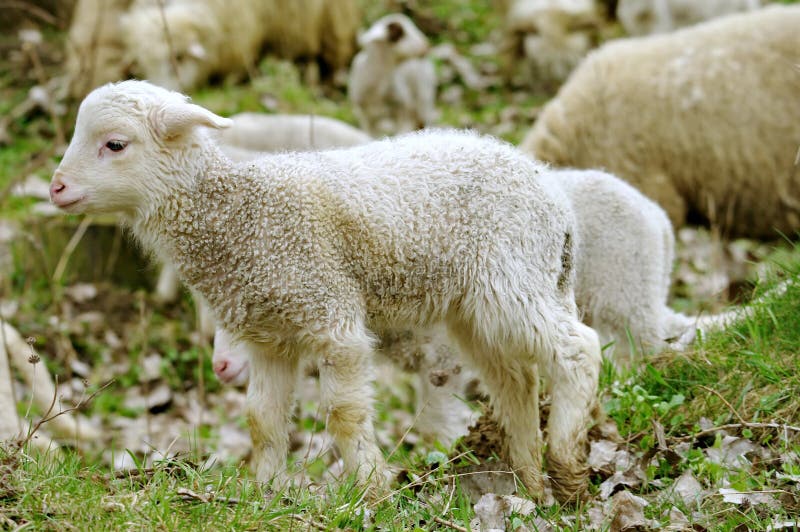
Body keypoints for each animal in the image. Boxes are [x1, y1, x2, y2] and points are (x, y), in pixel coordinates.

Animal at [50, 81, 600, 500]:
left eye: (115, 144)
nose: (56, 188)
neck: (240, 214)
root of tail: (555, 198)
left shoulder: (330, 312)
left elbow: (344, 414)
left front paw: (373, 492)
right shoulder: (269, 335)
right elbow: (263, 419)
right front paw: (265, 494)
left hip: (512, 278)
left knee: (579, 349)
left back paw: (567, 466)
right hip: (475, 307)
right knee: (516, 380)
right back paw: (530, 483)